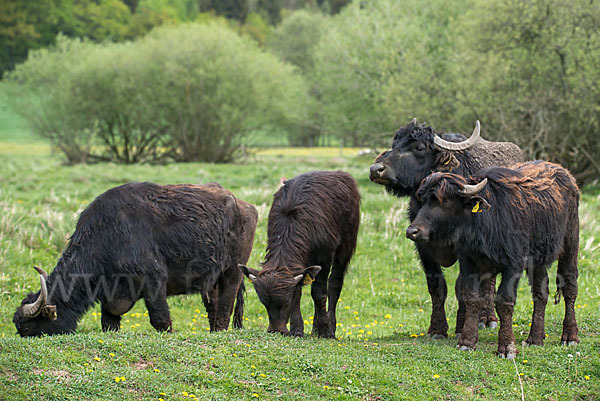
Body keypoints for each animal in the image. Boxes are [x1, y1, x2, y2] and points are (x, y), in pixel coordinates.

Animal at [11, 181, 255, 334]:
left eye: (26, 327)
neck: (107, 235)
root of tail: (245, 206)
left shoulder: (154, 281)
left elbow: (160, 320)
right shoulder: (111, 295)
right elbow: (108, 322)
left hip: (232, 273)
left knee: (224, 309)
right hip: (210, 282)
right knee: (214, 309)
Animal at [239, 170, 360, 338]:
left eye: (285, 302)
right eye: (265, 303)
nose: (276, 330)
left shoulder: (324, 257)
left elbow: (319, 292)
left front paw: (324, 330)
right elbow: (299, 292)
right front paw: (297, 329)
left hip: (346, 245)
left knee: (335, 283)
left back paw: (330, 326)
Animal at [368, 119, 524, 338]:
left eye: (419, 147)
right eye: (395, 143)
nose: (376, 169)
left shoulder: (466, 248)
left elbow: (462, 286)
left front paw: (461, 327)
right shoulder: (422, 246)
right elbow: (436, 285)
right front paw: (437, 329)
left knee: (489, 283)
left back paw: (488, 319)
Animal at [406, 161, 580, 358]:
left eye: (442, 201)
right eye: (423, 199)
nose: (412, 231)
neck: (484, 223)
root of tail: (566, 175)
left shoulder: (514, 264)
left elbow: (504, 301)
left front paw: (507, 347)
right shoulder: (469, 262)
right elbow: (471, 297)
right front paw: (467, 341)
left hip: (570, 244)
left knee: (570, 287)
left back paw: (570, 336)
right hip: (538, 260)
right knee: (540, 294)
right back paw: (535, 339)